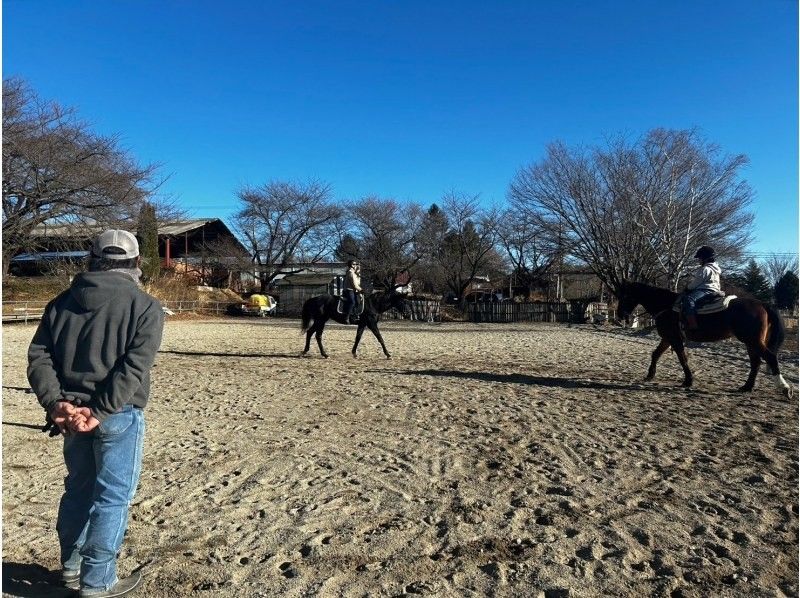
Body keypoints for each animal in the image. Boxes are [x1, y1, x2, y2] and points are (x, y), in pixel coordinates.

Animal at [616, 282, 792, 398]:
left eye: (625, 295)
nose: (620, 315)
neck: (667, 306)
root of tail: (763, 304)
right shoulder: (667, 338)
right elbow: (656, 354)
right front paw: (650, 375)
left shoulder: (674, 338)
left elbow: (682, 359)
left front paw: (688, 381)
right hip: (751, 343)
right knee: (756, 363)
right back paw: (746, 387)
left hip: (752, 341)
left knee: (770, 358)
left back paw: (784, 388)